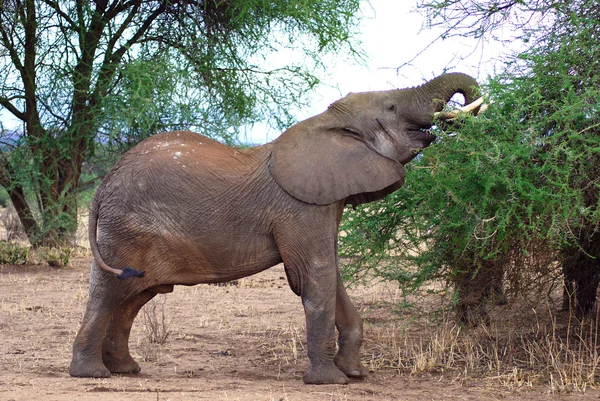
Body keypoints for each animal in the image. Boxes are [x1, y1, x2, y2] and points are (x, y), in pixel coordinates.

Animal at [71, 72, 482, 384]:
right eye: (392, 108)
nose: (455, 117)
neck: (327, 125)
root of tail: (103, 185)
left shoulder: (324, 203)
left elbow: (331, 275)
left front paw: (354, 374)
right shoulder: (301, 208)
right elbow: (314, 275)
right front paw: (329, 381)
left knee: (133, 297)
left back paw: (126, 370)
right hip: (125, 230)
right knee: (109, 293)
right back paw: (92, 375)